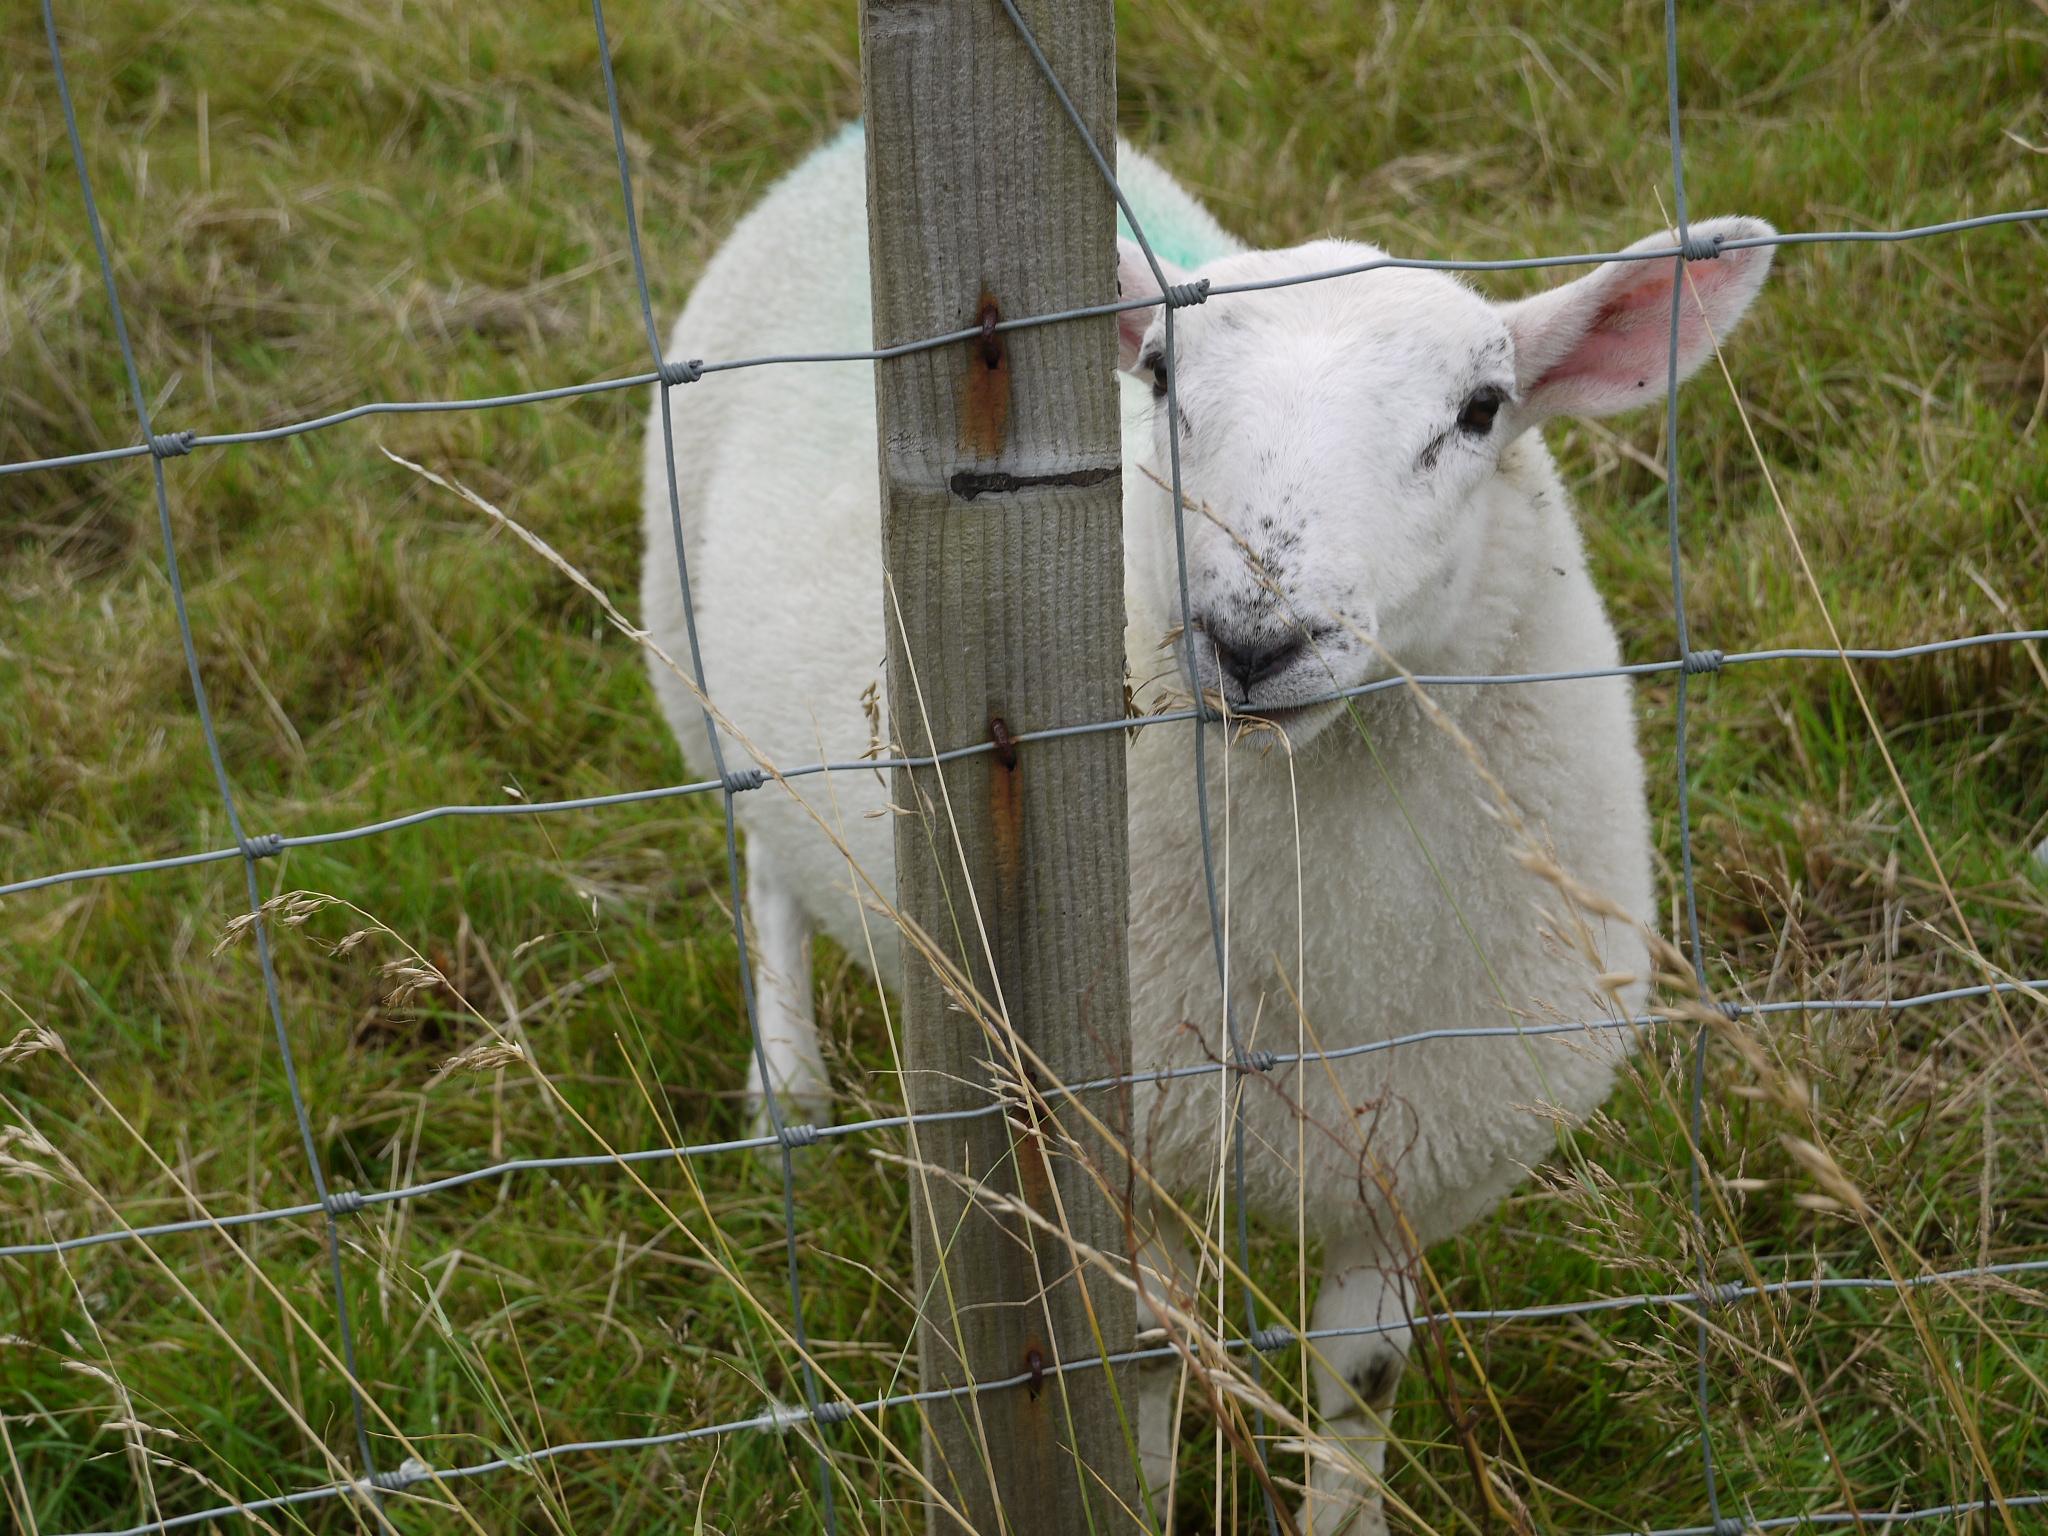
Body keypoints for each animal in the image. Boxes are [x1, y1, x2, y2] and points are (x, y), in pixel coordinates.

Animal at [641, 120, 1774, 1533]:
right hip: (695, 663)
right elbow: (1145, 1368)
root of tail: (843, 145)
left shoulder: (1403, 1155)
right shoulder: (1129, 1148)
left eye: (1479, 411)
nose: (1252, 639)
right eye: (1161, 374)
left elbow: (1360, 1382)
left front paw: (1339, 1506)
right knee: (767, 875)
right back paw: (785, 1086)